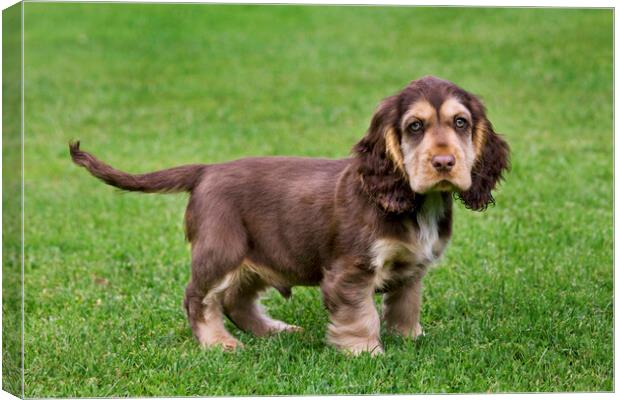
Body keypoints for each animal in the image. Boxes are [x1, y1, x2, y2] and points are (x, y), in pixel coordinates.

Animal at [70, 75, 512, 354]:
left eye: (460, 122)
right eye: (415, 127)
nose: (444, 163)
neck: (415, 201)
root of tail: (207, 170)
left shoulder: (411, 268)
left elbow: (405, 305)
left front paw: (410, 339)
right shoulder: (350, 271)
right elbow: (360, 315)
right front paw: (365, 352)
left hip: (259, 255)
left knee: (235, 300)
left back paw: (273, 330)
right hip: (222, 249)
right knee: (199, 297)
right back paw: (218, 343)